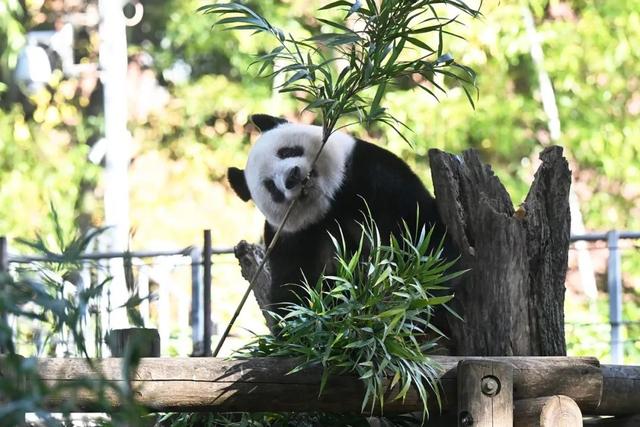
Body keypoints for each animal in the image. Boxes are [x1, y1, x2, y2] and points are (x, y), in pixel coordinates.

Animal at [228, 115, 458, 316]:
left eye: (286, 151)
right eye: (270, 186)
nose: (292, 177)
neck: (331, 203)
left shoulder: (366, 171)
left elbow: (417, 225)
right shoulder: (291, 238)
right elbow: (292, 291)